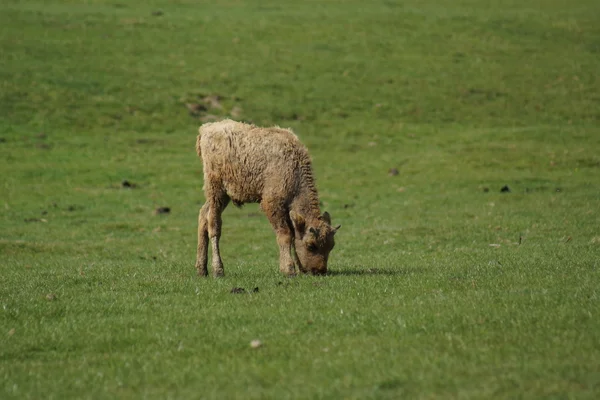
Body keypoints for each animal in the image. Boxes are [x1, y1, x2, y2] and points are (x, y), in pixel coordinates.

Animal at [196, 118, 340, 276]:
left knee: (203, 216)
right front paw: (289, 269)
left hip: (224, 195)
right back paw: (218, 270)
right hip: (216, 190)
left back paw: (202, 269)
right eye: (311, 245)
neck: (294, 169)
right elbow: (285, 235)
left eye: (331, 245)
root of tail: (206, 128)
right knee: (214, 225)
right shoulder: (272, 204)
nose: (319, 271)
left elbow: (293, 234)